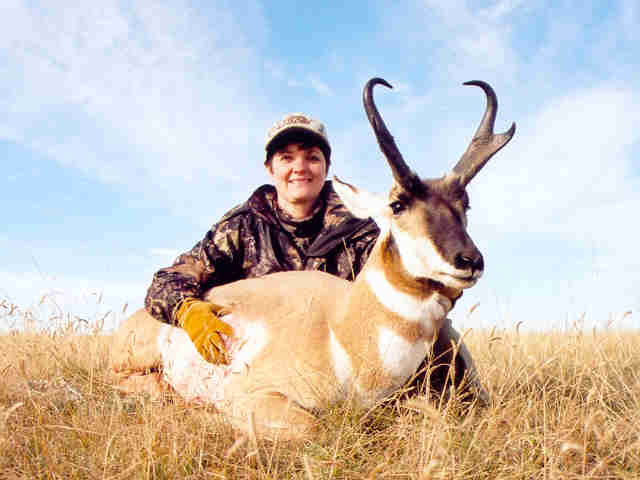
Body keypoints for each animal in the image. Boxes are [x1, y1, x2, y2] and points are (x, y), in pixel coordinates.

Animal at [114, 78, 516, 438]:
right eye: (397, 205)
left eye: (465, 204)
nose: (469, 260)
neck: (341, 328)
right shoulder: (256, 397)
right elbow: (313, 428)